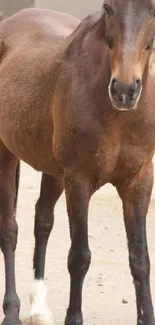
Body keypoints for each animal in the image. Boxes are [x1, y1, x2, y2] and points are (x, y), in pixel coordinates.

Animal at [0, 0, 155, 324]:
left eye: (154, 9)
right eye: (108, 8)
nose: (124, 90)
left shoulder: (139, 180)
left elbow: (140, 260)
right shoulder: (79, 180)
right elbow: (79, 257)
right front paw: (73, 317)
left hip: (53, 171)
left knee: (42, 221)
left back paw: (39, 307)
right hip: (6, 155)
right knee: (9, 229)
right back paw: (12, 311)